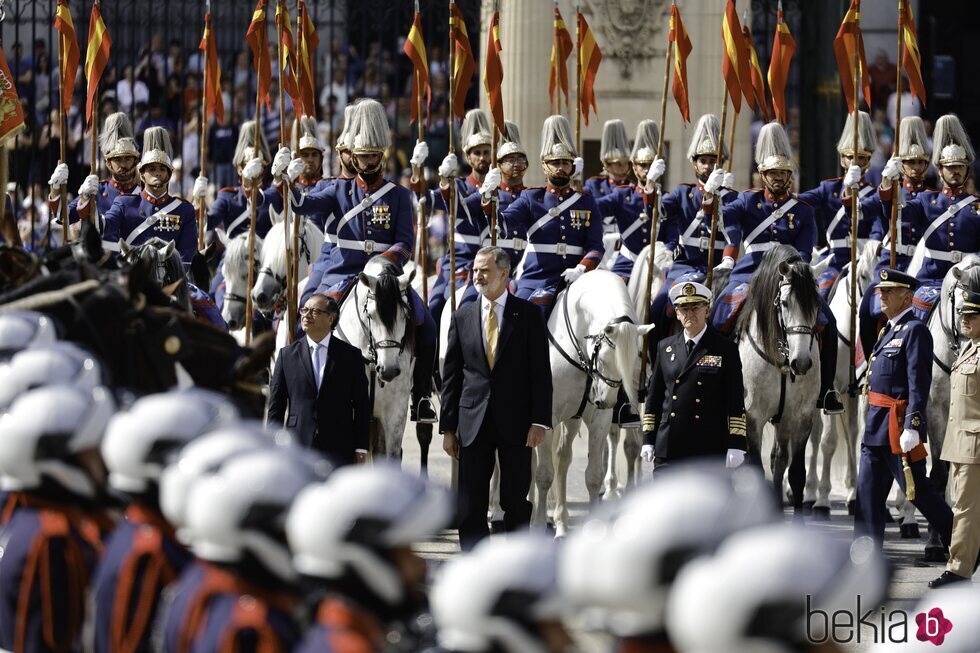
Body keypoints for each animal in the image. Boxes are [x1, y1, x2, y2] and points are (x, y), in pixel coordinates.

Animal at [532, 270, 656, 536]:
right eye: (607, 358)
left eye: (634, 359)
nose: (604, 400)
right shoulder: (546, 420)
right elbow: (544, 474)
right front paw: (536, 527)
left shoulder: (599, 420)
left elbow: (593, 475)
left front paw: (593, 526)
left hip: (573, 418)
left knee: (563, 458)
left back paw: (561, 521)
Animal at [740, 244, 824, 510]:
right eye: (785, 303)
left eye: (816, 304)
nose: (802, 362)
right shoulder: (752, 417)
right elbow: (755, 470)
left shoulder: (800, 416)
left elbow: (795, 473)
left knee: (778, 459)